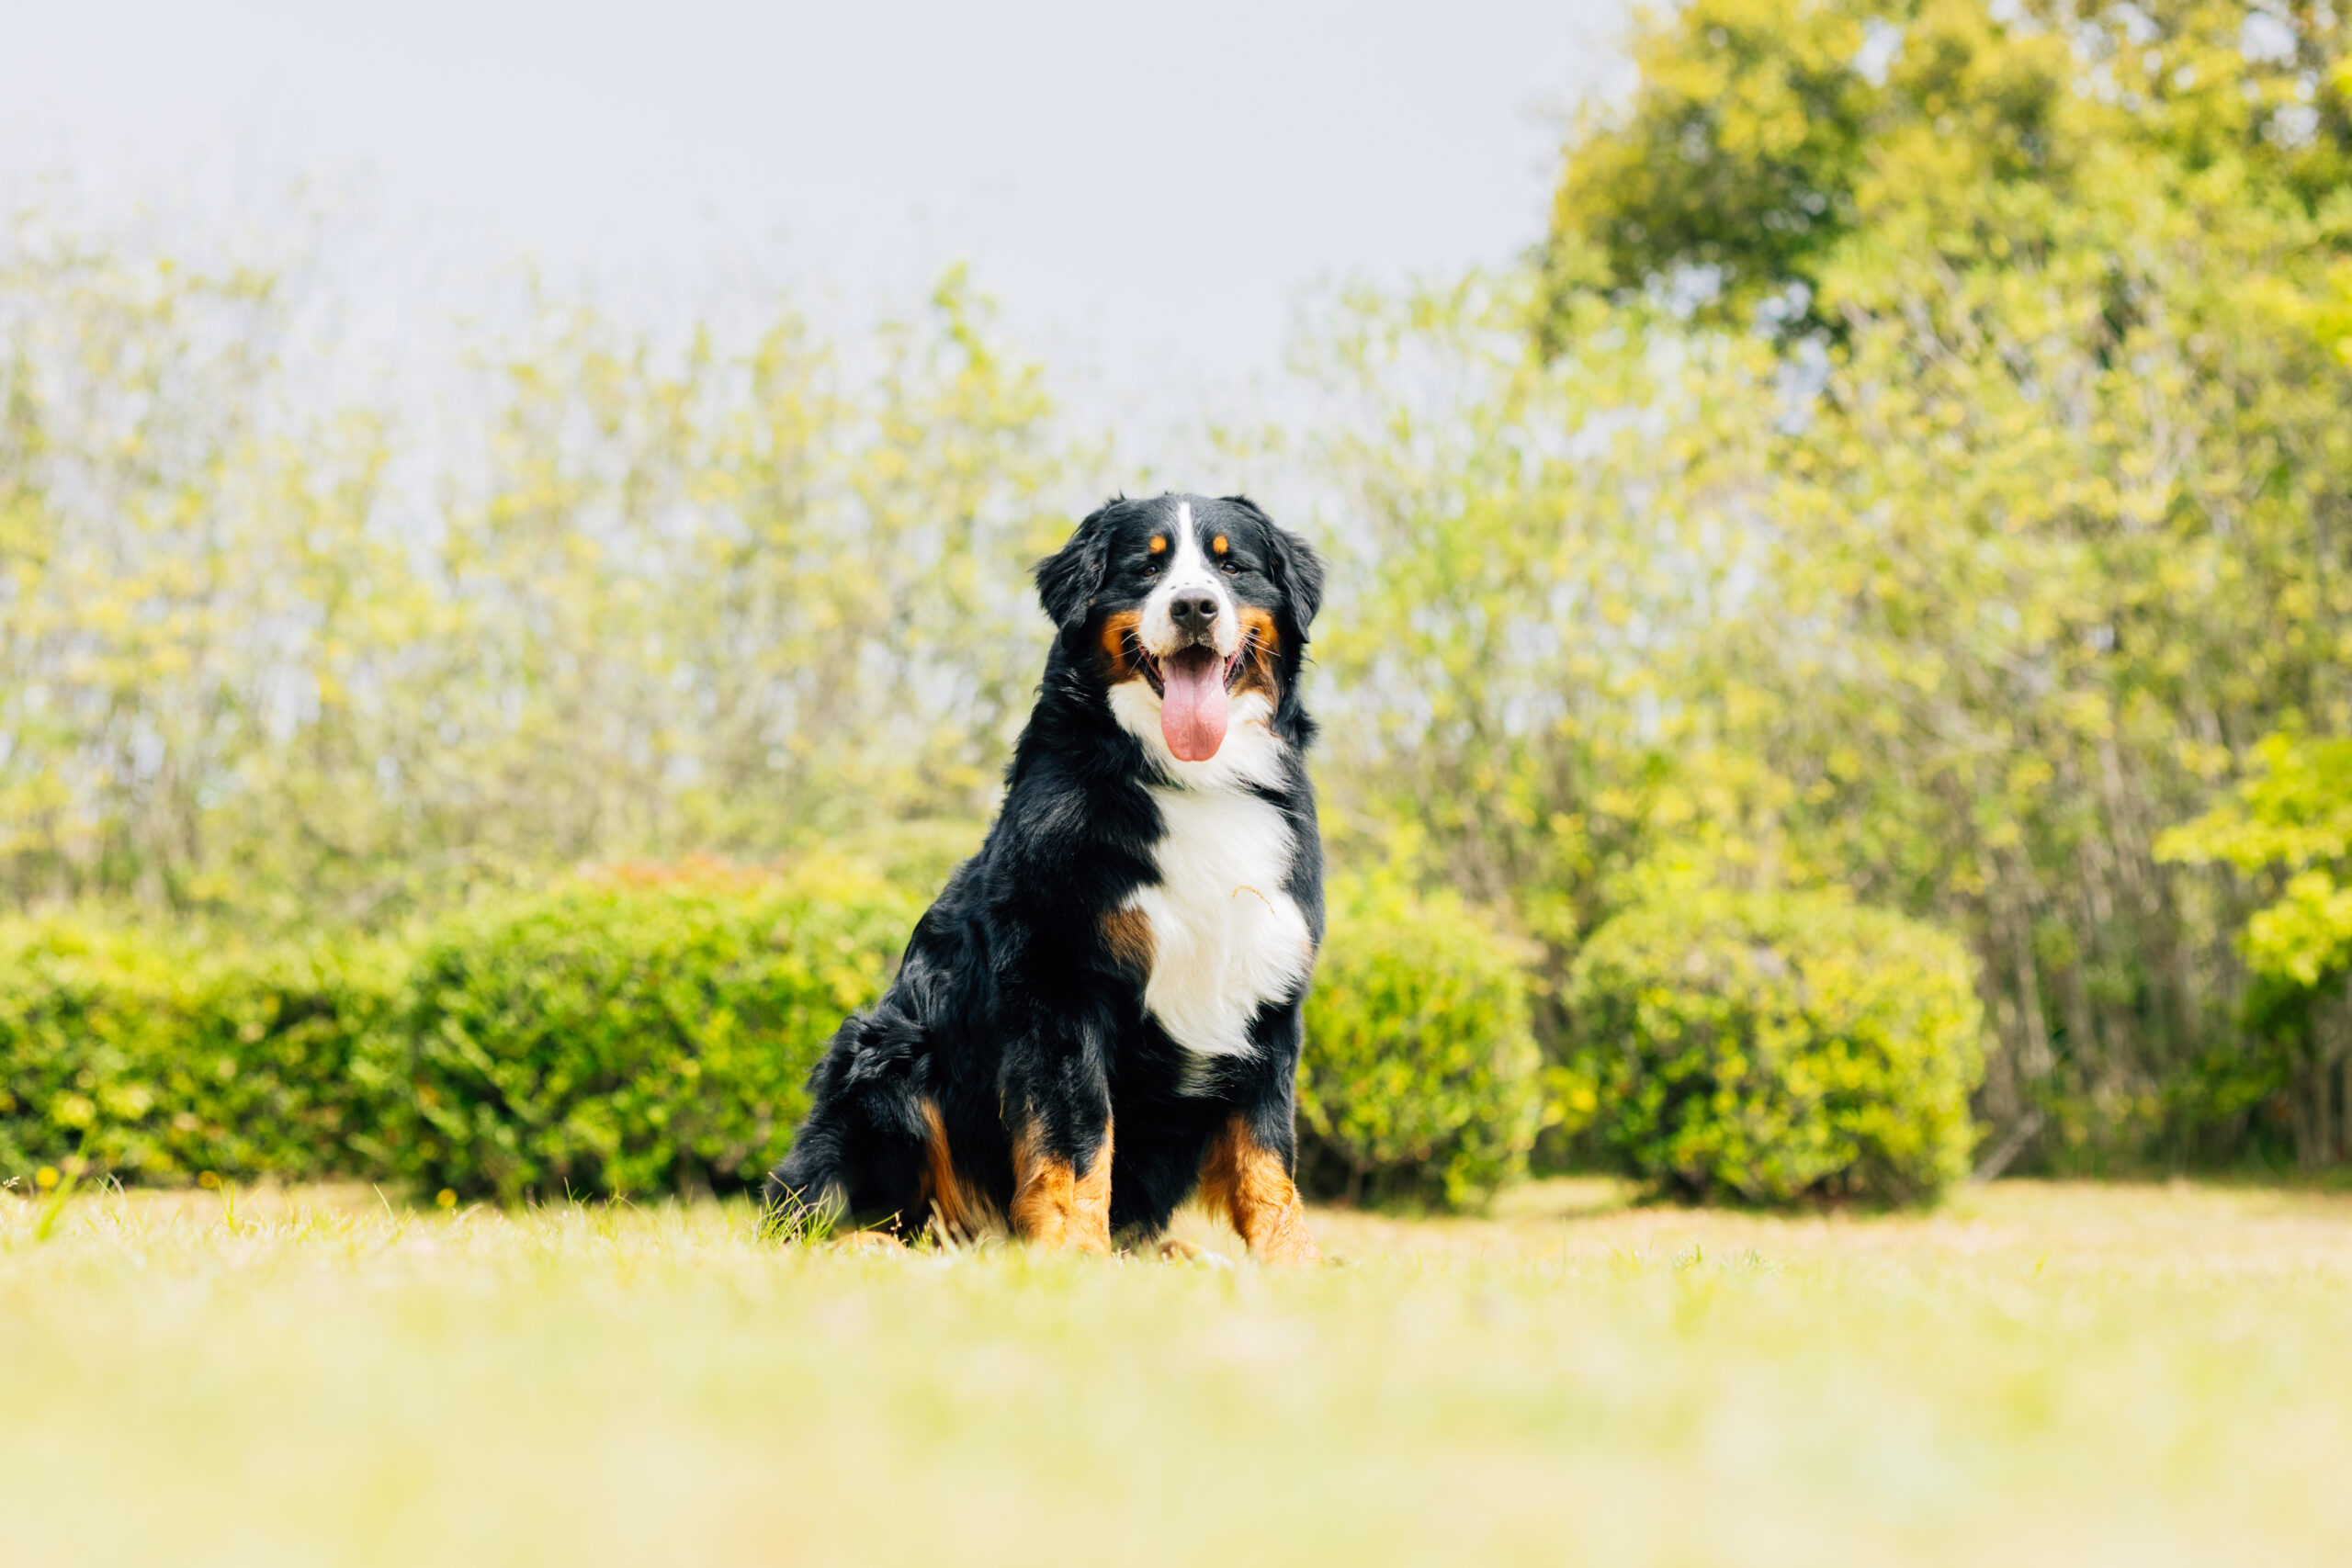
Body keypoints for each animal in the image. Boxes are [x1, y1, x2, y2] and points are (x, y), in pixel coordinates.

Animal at [764, 492, 1326, 1263]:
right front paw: (1073, 1252)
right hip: (890, 1052)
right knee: (819, 1210)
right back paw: (873, 1245)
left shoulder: (1266, 991)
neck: (1192, 779)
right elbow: (1079, 1134)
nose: (1194, 606)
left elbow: (1268, 1153)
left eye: (1230, 564)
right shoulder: (1062, 980)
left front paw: (1294, 1262)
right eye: (1146, 567)